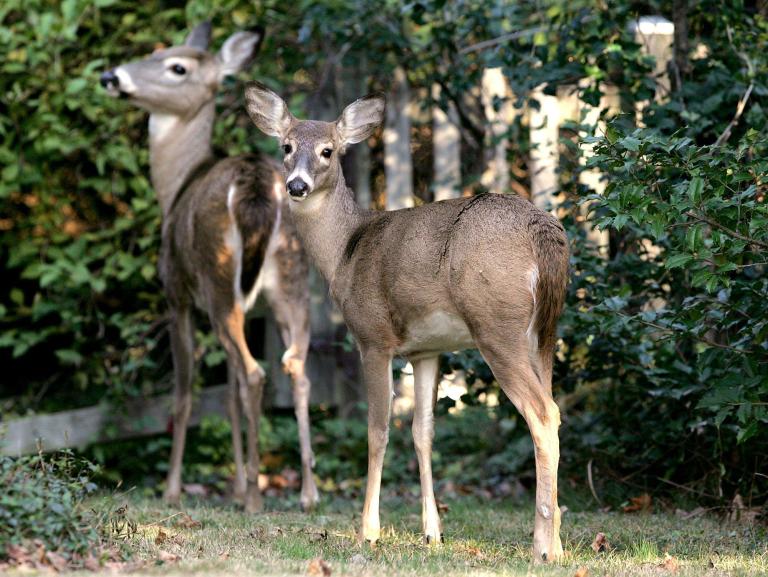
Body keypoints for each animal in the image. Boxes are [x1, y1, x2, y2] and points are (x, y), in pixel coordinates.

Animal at [99, 23, 319, 513]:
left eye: (176, 67)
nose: (110, 76)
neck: (175, 187)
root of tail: (255, 186)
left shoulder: (177, 297)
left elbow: (186, 396)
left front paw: (172, 488)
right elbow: (229, 397)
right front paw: (234, 485)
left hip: (218, 280)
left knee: (255, 373)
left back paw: (256, 497)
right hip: (291, 279)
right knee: (295, 368)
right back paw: (307, 493)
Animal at [243, 82, 569, 562]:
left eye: (327, 151)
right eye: (285, 146)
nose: (296, 185)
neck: (344, 252)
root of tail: (543, 234)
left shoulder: (373, 337)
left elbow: (378, 431)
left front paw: (368, 530)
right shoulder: (427, 349)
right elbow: (422, 432)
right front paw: (432, 532)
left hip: (498, 326)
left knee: (543, 414)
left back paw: (544, 548)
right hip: (544, 332)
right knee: (551, 409)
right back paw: (556, 541)